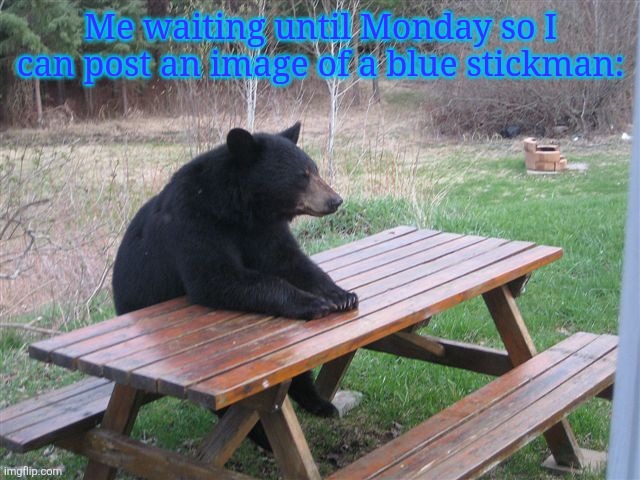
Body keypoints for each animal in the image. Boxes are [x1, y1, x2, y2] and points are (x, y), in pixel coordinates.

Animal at [112, 122, 358, 448]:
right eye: (302, 175)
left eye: (314, 169)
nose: (335, 200)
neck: (239, 208)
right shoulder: (193, 222)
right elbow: (218, 277)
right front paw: (314, 303)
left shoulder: (263, 229)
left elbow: (290, 261)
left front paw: (341, 295)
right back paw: (263, 436)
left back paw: (318, 403)